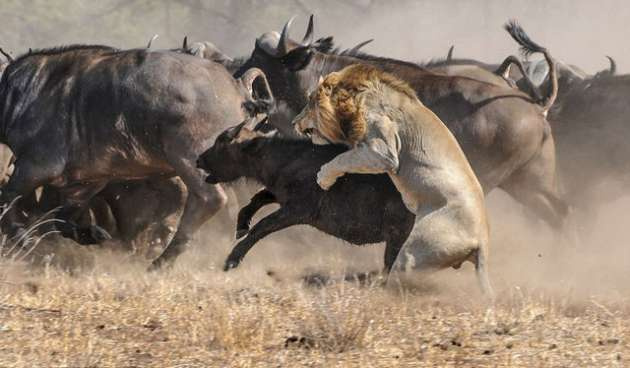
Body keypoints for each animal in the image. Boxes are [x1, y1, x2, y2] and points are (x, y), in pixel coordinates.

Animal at [294, 64, 496, 296]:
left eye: (310, 101)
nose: (294, 122)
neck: (354, 98)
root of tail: (482, 239)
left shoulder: (383, 152)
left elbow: (342, 159)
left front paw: (323, 178)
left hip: (413, 254)